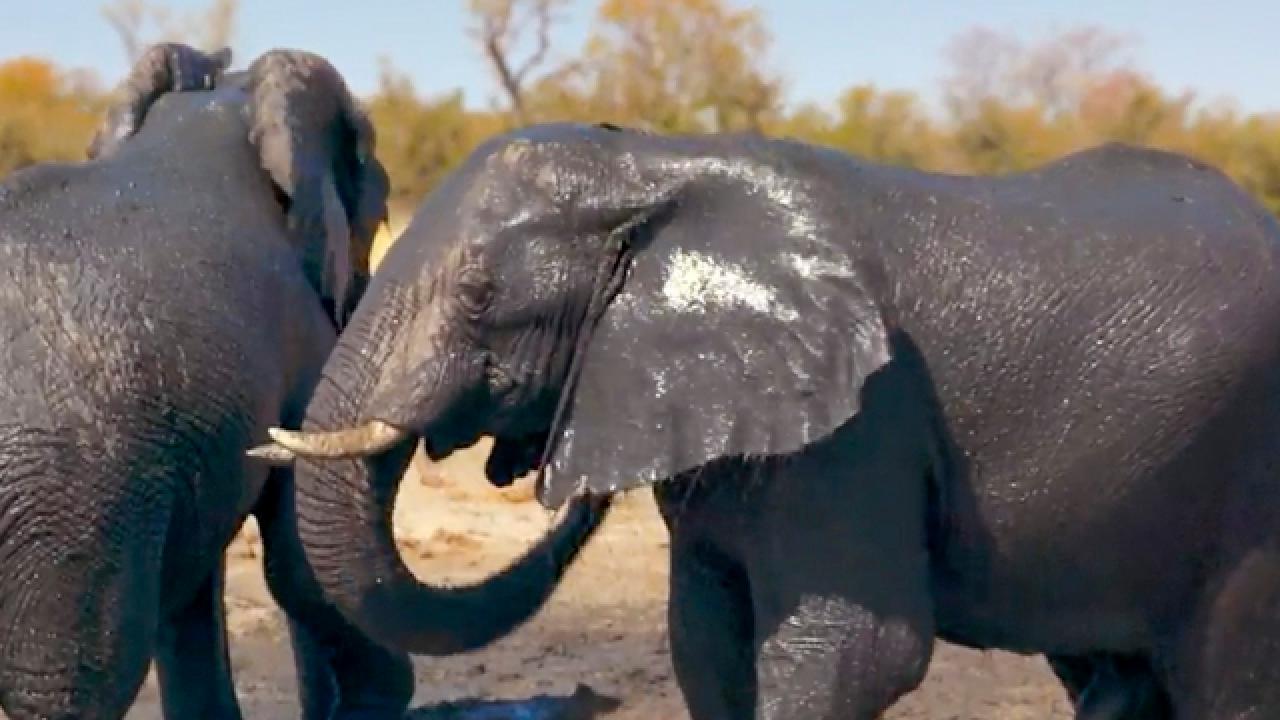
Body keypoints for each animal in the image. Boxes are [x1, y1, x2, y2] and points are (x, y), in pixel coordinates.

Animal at [254, 120, 1280, 712]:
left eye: (475, 295)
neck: (660, 163)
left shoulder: (866, 421)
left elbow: (853, 655)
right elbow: (704, 645)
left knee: (1220, 682)